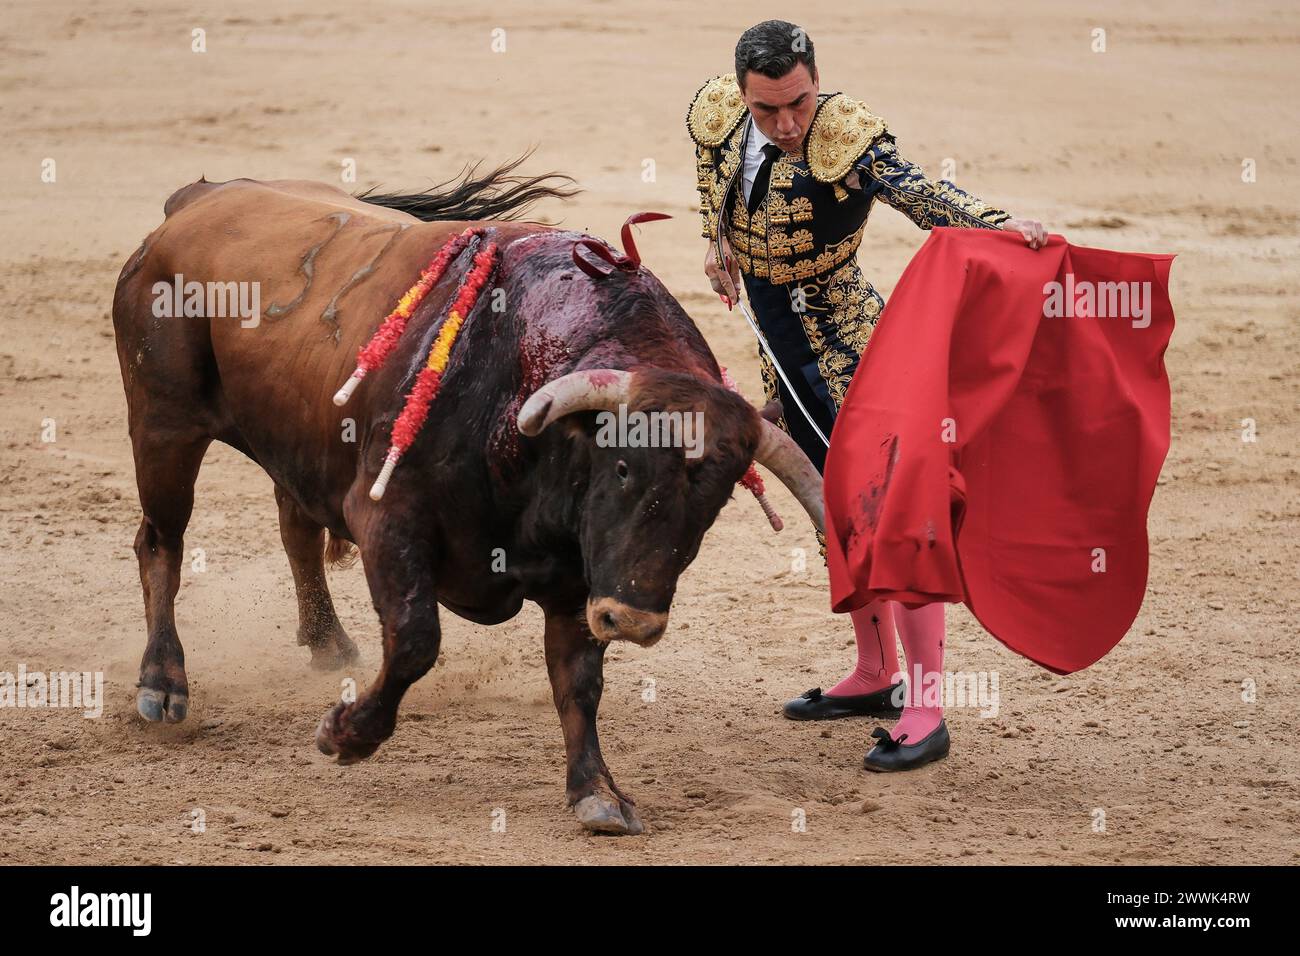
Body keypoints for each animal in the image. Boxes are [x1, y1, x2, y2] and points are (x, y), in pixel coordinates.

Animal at [111, 164, 821, 837]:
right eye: (623, 466)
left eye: (718, 502)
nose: (634, 622)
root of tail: (195, 202)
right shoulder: (387, 519)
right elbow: (416, 638)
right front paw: (345, 735)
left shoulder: (578, 577)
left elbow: (579, 682)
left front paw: (597, 793)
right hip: (165, 424)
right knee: (161, 540)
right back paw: (162, 685)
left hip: (294, 440)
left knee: (296, 529)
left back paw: (327, 643)